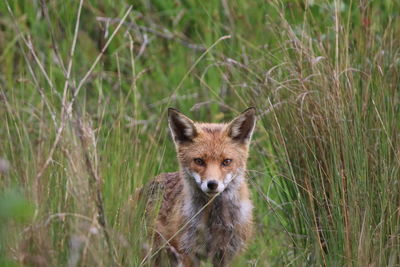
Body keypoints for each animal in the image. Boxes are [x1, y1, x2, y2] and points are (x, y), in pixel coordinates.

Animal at [148, 108, 256, 266]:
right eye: (199, 161)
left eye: (226, 161)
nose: (212, 184)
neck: (214, 222)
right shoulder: (188, 252)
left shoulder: (228, 254)